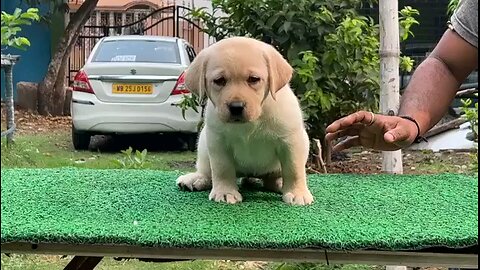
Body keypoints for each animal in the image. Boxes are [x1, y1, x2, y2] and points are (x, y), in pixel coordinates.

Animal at [176, 35, 316, 205]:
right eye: (219, 80)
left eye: (254, 79)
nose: (236, 107)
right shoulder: (218, 141)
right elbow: (222, 168)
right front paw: (225, 192)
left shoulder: (291, 140)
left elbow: (294, 169)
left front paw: (297, 193)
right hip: (203, 143)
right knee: (207, 170)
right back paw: (197, 179)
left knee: (272, 179)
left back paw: (280, 184)